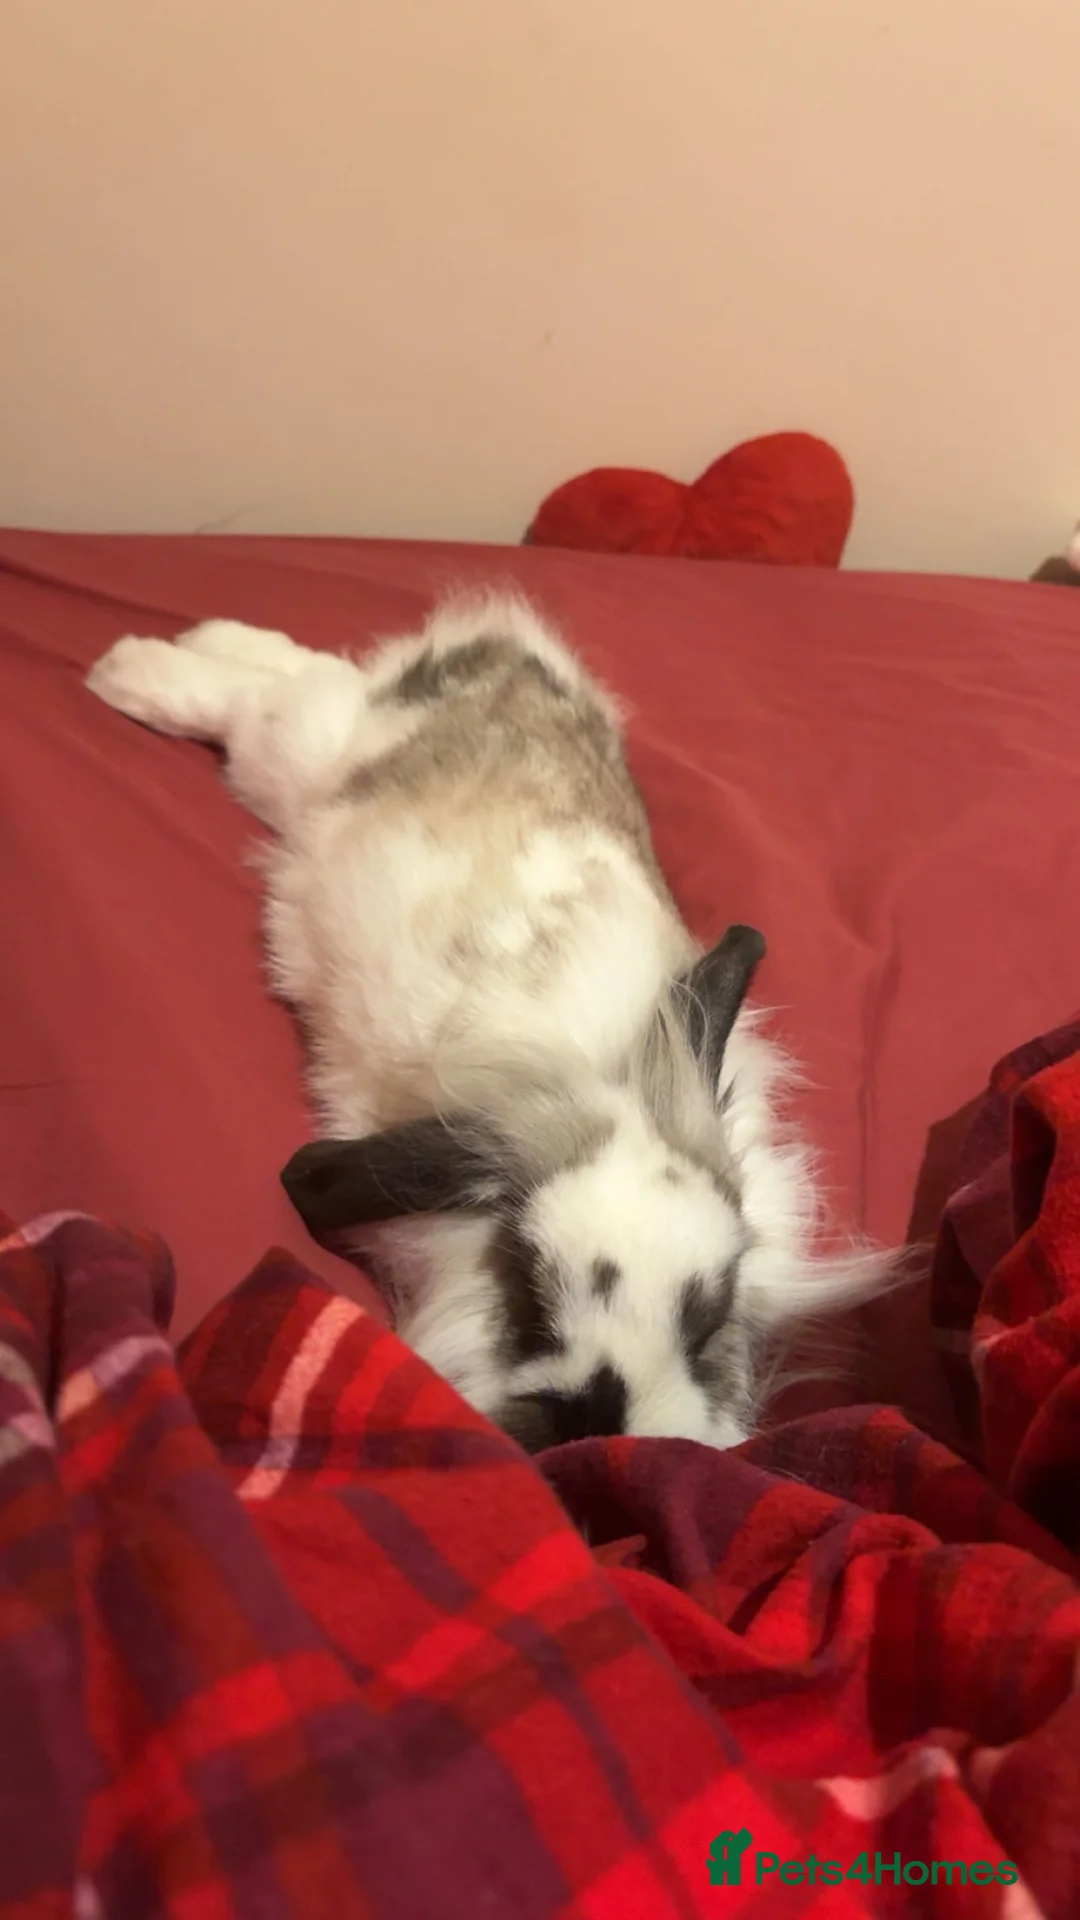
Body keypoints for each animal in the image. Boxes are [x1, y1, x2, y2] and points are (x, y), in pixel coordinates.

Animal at [86, 591, 892, 1452]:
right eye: (531, 1301)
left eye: (706, 1328)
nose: (603, 1428)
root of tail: (517, 666)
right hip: (294, 757)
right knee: (254, 698)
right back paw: (123, 670)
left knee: (304, 669)